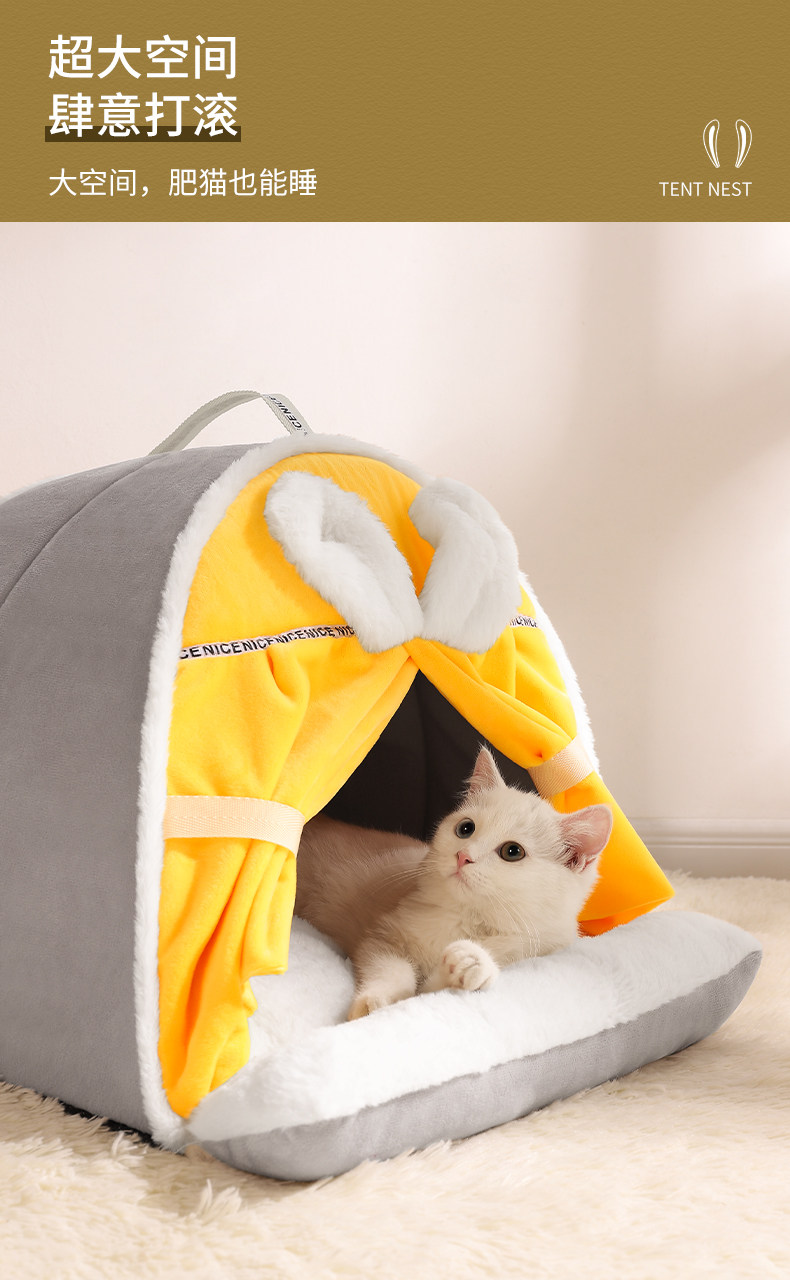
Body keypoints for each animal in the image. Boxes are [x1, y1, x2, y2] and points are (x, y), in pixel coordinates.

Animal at [295, 746, 613, 1021]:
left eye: (513, 852)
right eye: (465, 828)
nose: (463, 856)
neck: (467, 918)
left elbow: (428, 992)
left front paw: (469, 963)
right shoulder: (384, 935)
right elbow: (391, 967)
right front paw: (377, 1001)